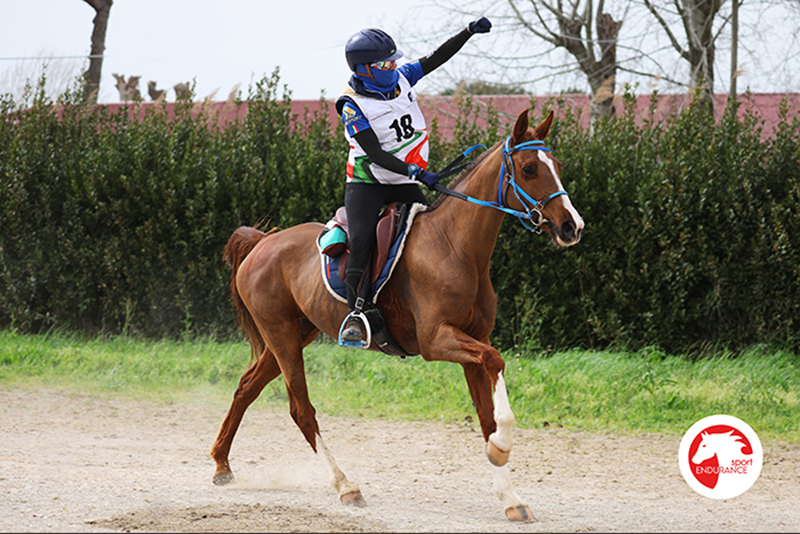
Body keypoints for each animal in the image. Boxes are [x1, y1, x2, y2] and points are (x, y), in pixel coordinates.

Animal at [211, 109, 588, 524]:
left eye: (558, 166)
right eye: (529, 168)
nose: (572, 226)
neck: (457, 247)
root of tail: (262, 242)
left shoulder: (473, 341)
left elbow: (487, 413)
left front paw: (509, 496)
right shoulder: (436, 340)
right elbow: (496, 363)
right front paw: (501, 447)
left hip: (294, 334)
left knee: (247, 387)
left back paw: (222, 465)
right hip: (281, 336)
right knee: (300, 410)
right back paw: (346, 486)